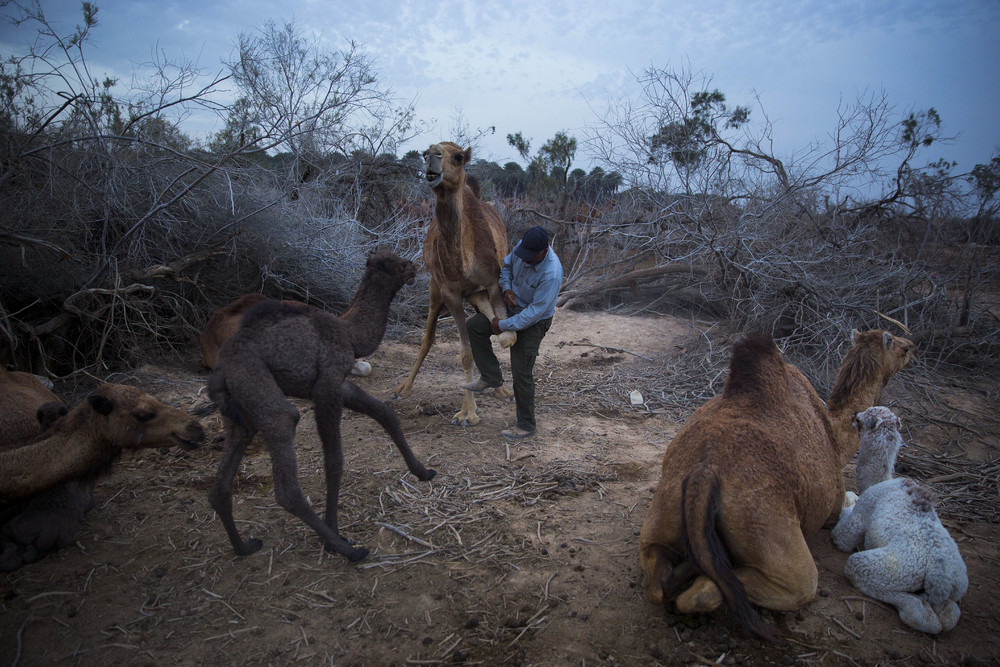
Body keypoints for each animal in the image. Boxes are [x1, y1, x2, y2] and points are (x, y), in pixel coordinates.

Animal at [390, 142, 516, 428]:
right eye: (424, 153)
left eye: (458, 157)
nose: (431, 157)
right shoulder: (449, 292)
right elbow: (465, 352)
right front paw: (467, 412)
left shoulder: (493, 282)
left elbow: (503, 337)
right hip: (434, 290)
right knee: (427, 339)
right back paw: (403, 388)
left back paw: (502, 390)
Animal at [640, 332, 916, 644]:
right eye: (899, 347)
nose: (913, 347)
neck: (834, 434)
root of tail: (704, 473)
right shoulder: (831, 506)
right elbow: (848, 503)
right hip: (764, 524)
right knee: (777, 586)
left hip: (667, 499)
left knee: (656, 578)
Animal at [832, 408, 964, 632]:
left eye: (861, 420)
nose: (853, 416)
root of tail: (941, 577)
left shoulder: (863, 512)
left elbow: (843, 534)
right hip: (955, 587)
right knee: (950, 614)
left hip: (896, 569)